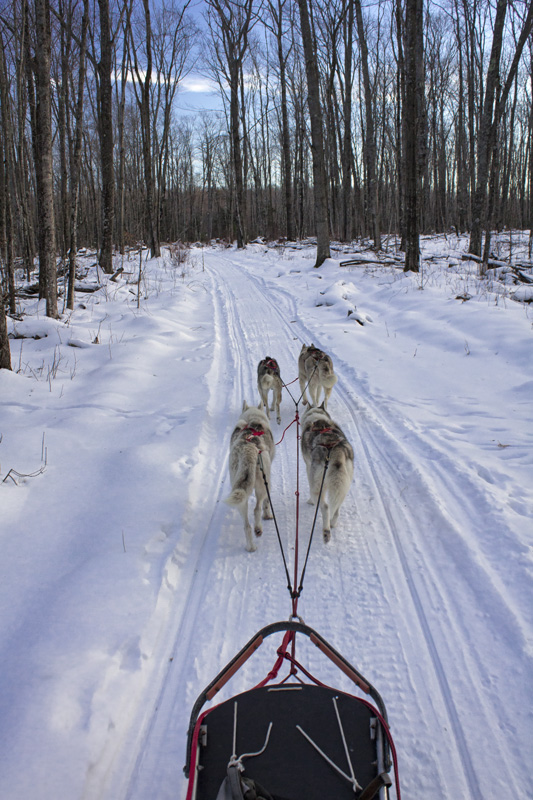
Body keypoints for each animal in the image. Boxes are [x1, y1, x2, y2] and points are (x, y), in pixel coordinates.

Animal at [223, 404, 274, 552]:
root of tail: (249, 448)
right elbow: (266, 503)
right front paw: (268, 515)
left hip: (240, 491)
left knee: (246, 525)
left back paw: (251, 546)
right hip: (263, 484)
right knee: (257, 509)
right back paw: (259, 528)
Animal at [300, 404, 354, 540]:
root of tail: (335, 449)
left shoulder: (308, 467)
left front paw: (310, 502)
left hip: (317, 488)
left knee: (325, 507)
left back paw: (326, 531)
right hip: (343, 487)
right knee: (336, 508)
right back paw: (332, 524)